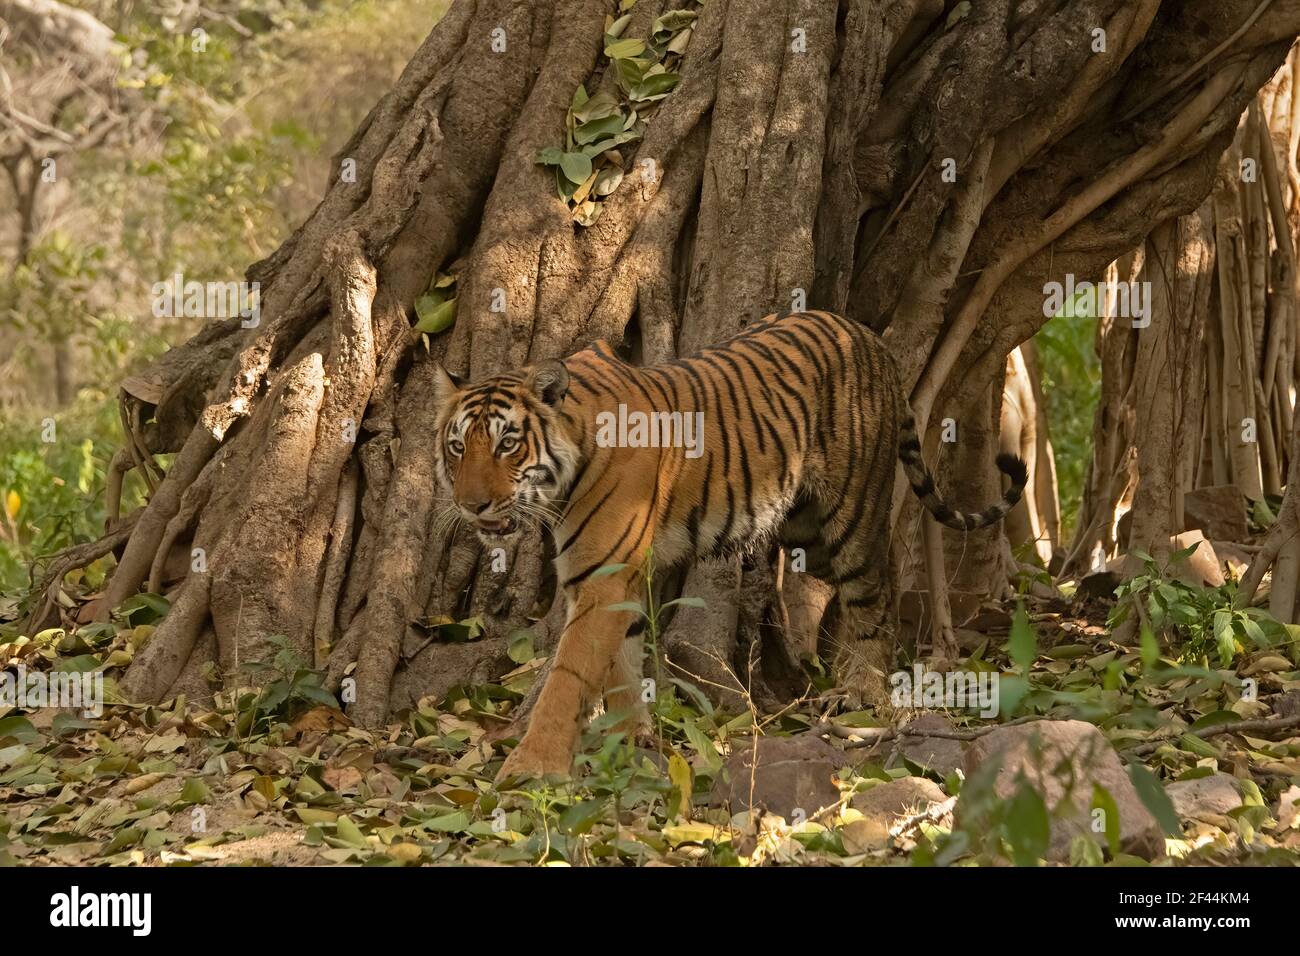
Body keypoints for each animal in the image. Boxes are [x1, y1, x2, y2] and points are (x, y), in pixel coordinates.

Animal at [434, 310, 1024, 780]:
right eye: (458, 447)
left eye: (508, 444)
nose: (471, 505)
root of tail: (867, 335)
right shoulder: (619, 576)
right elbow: (621, 661)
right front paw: (631, 739)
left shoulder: (600, 575)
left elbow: (568, 675)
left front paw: (532, 767)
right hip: (802, 526)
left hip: (850, 515)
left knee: (873, 592)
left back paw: (861, 694)